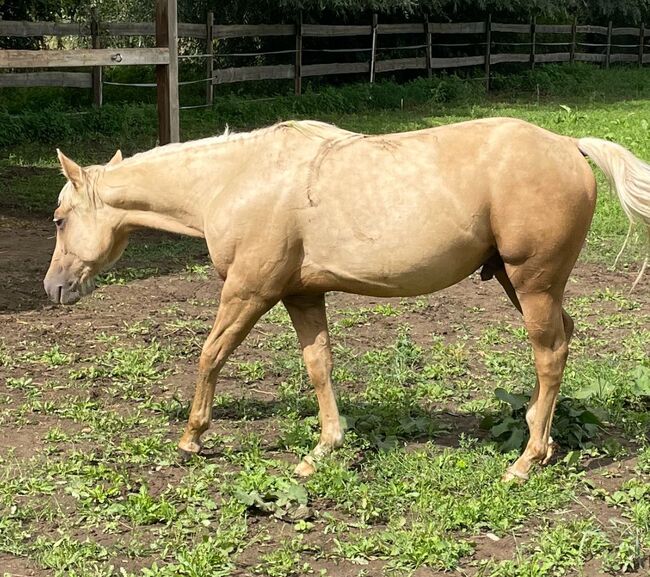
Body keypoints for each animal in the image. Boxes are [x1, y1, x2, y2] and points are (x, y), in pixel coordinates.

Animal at [43, 116, 644, 476]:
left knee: (550, 354)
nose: (54, 288)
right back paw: (543, 436)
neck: (236, 178)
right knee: (563, 340)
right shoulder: (301, 296)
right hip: (519, 283)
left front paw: (192, 436)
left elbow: (211, 354)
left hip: (531, 283)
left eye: (58, 218)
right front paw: (323, 448)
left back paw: (526, 459)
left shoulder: (249, 291)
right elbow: (319, 366)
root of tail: (569, 145)